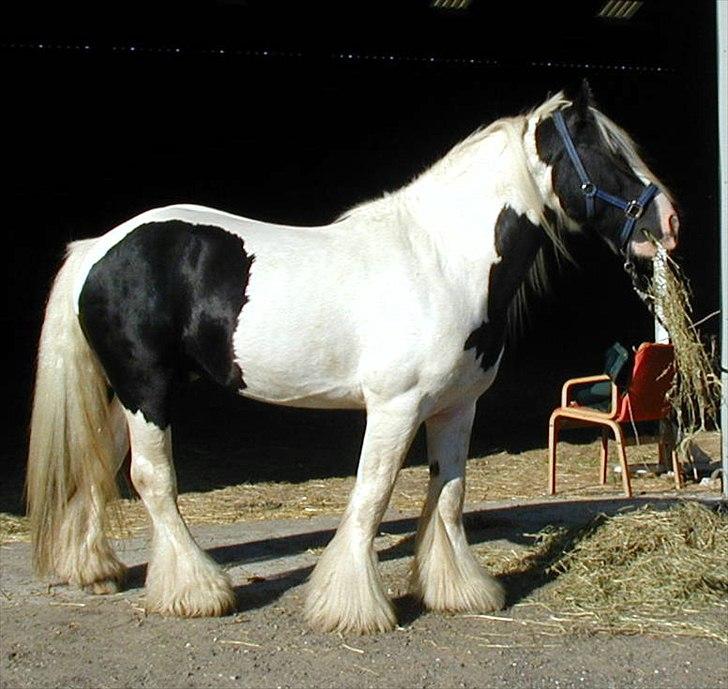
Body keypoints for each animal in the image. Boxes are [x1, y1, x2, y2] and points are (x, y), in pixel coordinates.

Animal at [27, 86, 676, 636]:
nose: (668, 222)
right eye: (600, 151)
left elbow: (449, 493)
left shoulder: (457, 407)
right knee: (152, 480)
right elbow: (373, 493)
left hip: (123, 393)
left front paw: (457, 590)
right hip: (147, 390)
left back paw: (95, 572)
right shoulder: (395, 407)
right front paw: (352, 607)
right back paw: (198, 592)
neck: (442, 261)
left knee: (97, 466)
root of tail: (100, 248)